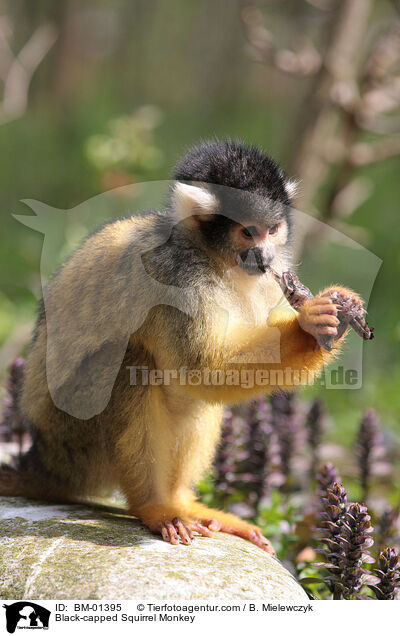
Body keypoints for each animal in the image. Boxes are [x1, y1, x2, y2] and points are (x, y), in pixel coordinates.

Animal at [0, 139, 352, 552]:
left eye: (273, 229)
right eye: (249, 233)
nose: (264, 256)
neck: (211, 257)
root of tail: (42, 457)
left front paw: (335, 312)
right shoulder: (174, 274)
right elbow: (201, 370)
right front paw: (311, 324)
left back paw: (181, 500)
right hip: (74, 440)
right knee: (133, 361)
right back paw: (154, 505)